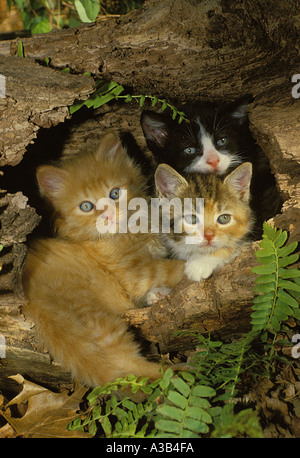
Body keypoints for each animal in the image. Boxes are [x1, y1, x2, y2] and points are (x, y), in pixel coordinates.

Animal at [22, 134, 185, 388]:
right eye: (86, 206)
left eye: (114, 194)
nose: (108, 215)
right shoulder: (136, 272)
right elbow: (175, 268)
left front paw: (157, 295)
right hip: (95, 317)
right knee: (126, 366)